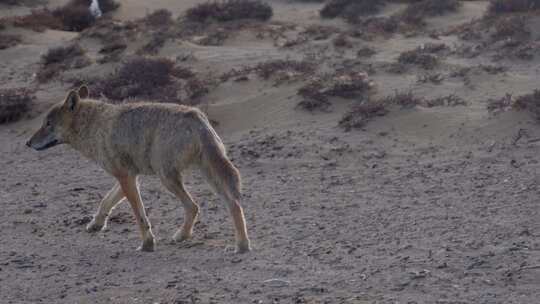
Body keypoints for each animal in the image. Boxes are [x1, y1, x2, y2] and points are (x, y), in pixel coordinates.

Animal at [26, 86, 250, 254]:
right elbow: (105, 201)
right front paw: (96, 224)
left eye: (48, 124)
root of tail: (197, 116)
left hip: (167, 179)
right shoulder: (129, 177)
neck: (94, 125)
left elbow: (140, 216)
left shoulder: (126, 178)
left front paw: (147, 244)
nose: (27, 143)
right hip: (206, 177)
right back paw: (240, 246)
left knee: (194, 206)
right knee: (232, 204)